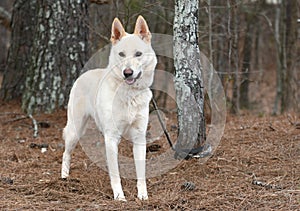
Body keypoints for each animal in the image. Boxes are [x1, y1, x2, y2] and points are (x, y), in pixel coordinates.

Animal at [61, 15, 157, 200]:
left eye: (138, 54)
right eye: (121, 54)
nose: (128, 73)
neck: (128, 94)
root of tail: (84, 74)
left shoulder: (139, 138)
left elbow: (141, 172)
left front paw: (143, 196)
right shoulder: (112, 137)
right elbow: (115, 174)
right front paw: (119, 196)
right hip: (75, 131)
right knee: (66, 153)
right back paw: (64, 177)